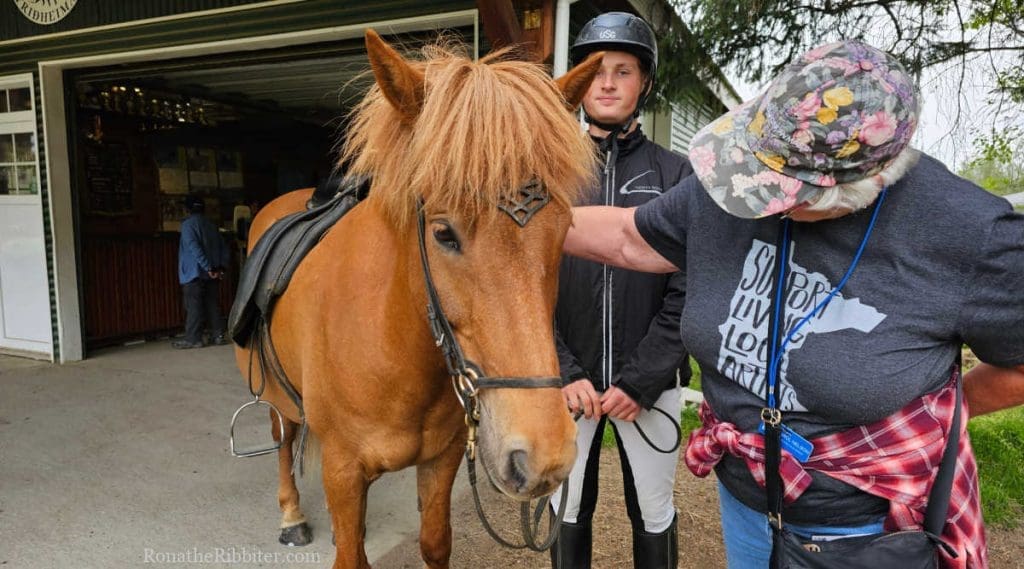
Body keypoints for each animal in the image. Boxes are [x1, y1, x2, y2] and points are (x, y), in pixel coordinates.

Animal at [235, 32, 602, 569]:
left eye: (565, 233)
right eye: (444, 234)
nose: (543, 457)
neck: (391, 343)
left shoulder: (441, 460)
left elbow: (433, 542)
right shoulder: (342, 470)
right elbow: (351, 555)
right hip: (279, 402)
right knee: (282, 440)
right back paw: (291, 516)